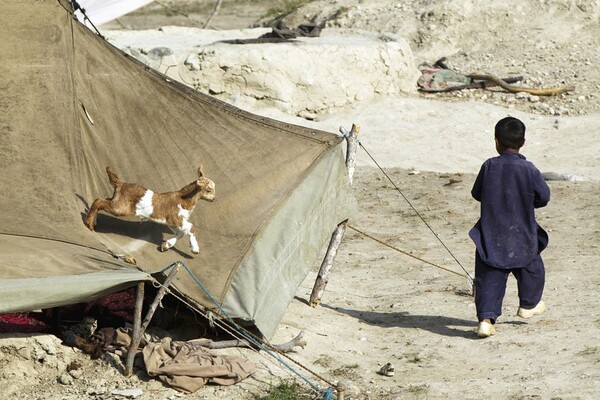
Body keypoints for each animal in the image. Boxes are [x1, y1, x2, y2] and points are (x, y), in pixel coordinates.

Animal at [84, 165, 216, 253]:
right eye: (209, 190)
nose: (214, 199)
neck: (183, 199)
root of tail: (120, 184)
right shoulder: (175, 218)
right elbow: (191, 227)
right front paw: (195, 249)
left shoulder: (172, 223)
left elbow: (182, 232)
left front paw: (166, 245)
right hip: (120, 208)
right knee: (99, 201)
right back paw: (89, 224)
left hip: (116, 201)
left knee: (101, 200)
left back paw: (93, 221)